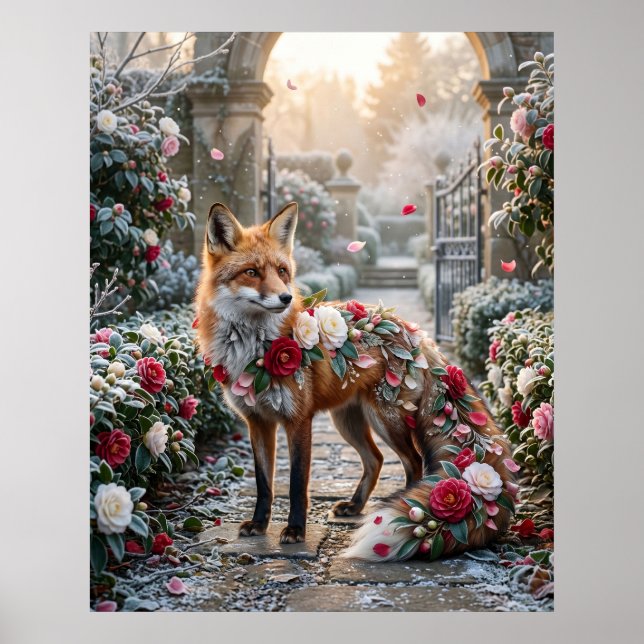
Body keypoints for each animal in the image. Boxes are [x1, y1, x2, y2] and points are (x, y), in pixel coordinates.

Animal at [195, 201, 516, 561]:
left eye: (282, 271)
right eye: (251, 272)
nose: (286, 298)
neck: (254, 349)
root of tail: (416, 334)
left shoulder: (298, 420)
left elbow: (296, 483)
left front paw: (295, 531)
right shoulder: (258, 422)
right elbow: (265, 483)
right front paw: (259, 525)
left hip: (385, 419)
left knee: (413, 462)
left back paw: (403, 507)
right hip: (347, 421)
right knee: (376, 460)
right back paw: (357, 506)